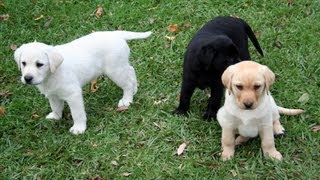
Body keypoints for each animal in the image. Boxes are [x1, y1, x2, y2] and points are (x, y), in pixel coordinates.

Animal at [13, 31, 151, 134]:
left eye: (39, 64)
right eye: (23, 63)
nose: (27, 78)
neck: (52, 73)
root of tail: (116, 34)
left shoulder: (73, 94)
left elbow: (77, 113)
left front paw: (79, 128)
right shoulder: (53, 94)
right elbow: (56, 106)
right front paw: (55, 117)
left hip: (115, 70)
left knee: (127, 83)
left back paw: (127, 99)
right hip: (120, 66)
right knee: (131, 71)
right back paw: (135, 89)